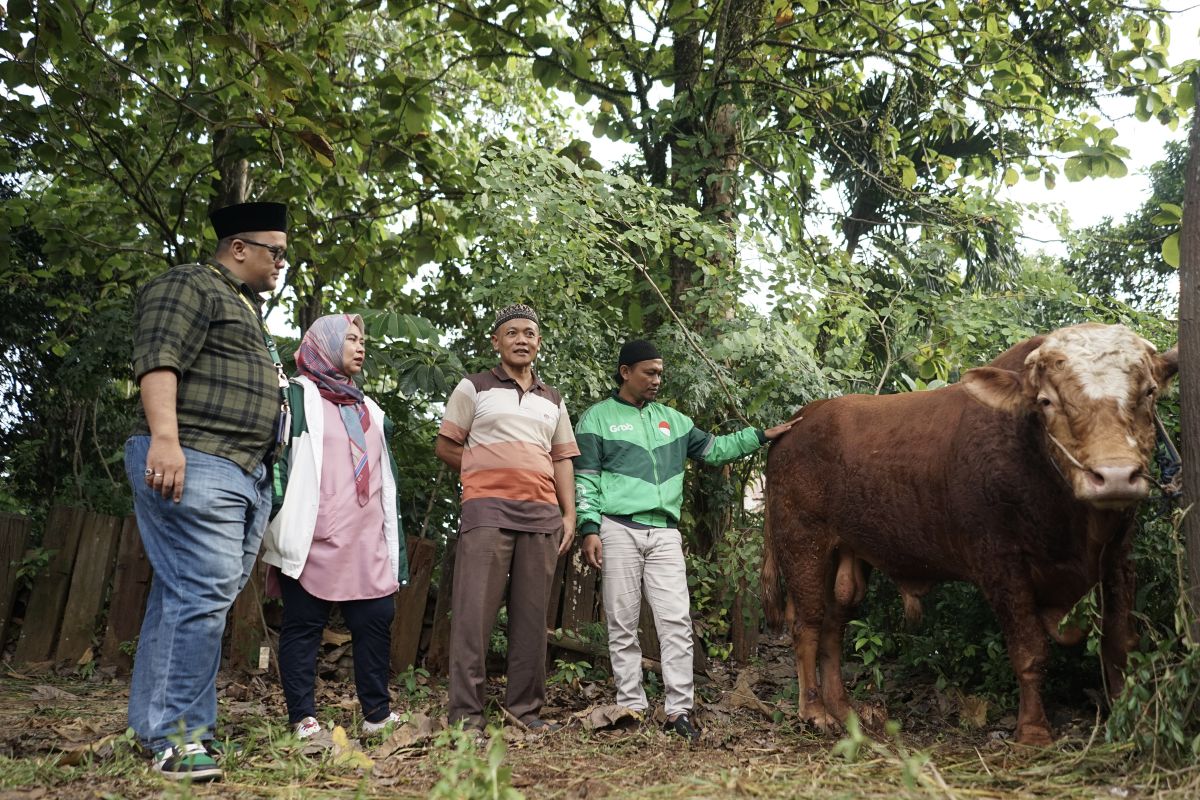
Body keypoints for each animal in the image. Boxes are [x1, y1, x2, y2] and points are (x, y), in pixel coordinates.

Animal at [763, 323, 1176, 743]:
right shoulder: (1001, 564)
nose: (1115, 476)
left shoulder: (1118, 557)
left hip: (848, 555)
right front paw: (1033, 731)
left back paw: (844, 709)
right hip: (803, 545)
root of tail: (798, 423)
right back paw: (815, 711)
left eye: (1149, 392)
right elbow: (1030, 651)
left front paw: (1132, 722)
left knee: (834, 627)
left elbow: (1119, 642)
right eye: (1046, 401)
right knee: (808, 625)